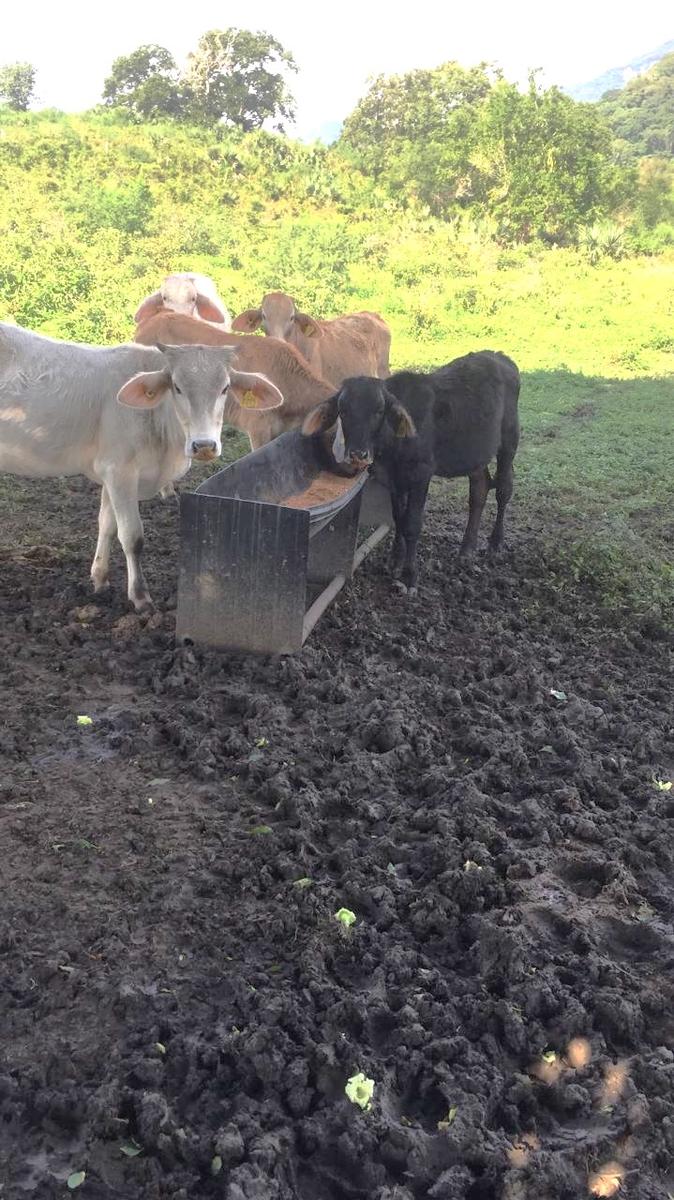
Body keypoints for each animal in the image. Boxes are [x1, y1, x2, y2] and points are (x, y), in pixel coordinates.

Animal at [0, 321, 280, 609]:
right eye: (177, 387)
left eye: (224, 388)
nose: (204, 445)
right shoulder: (119, 470)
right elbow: (132, 536)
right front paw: (140, 595)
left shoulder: (110, 472)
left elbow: (107, 525)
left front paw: (100, 578)